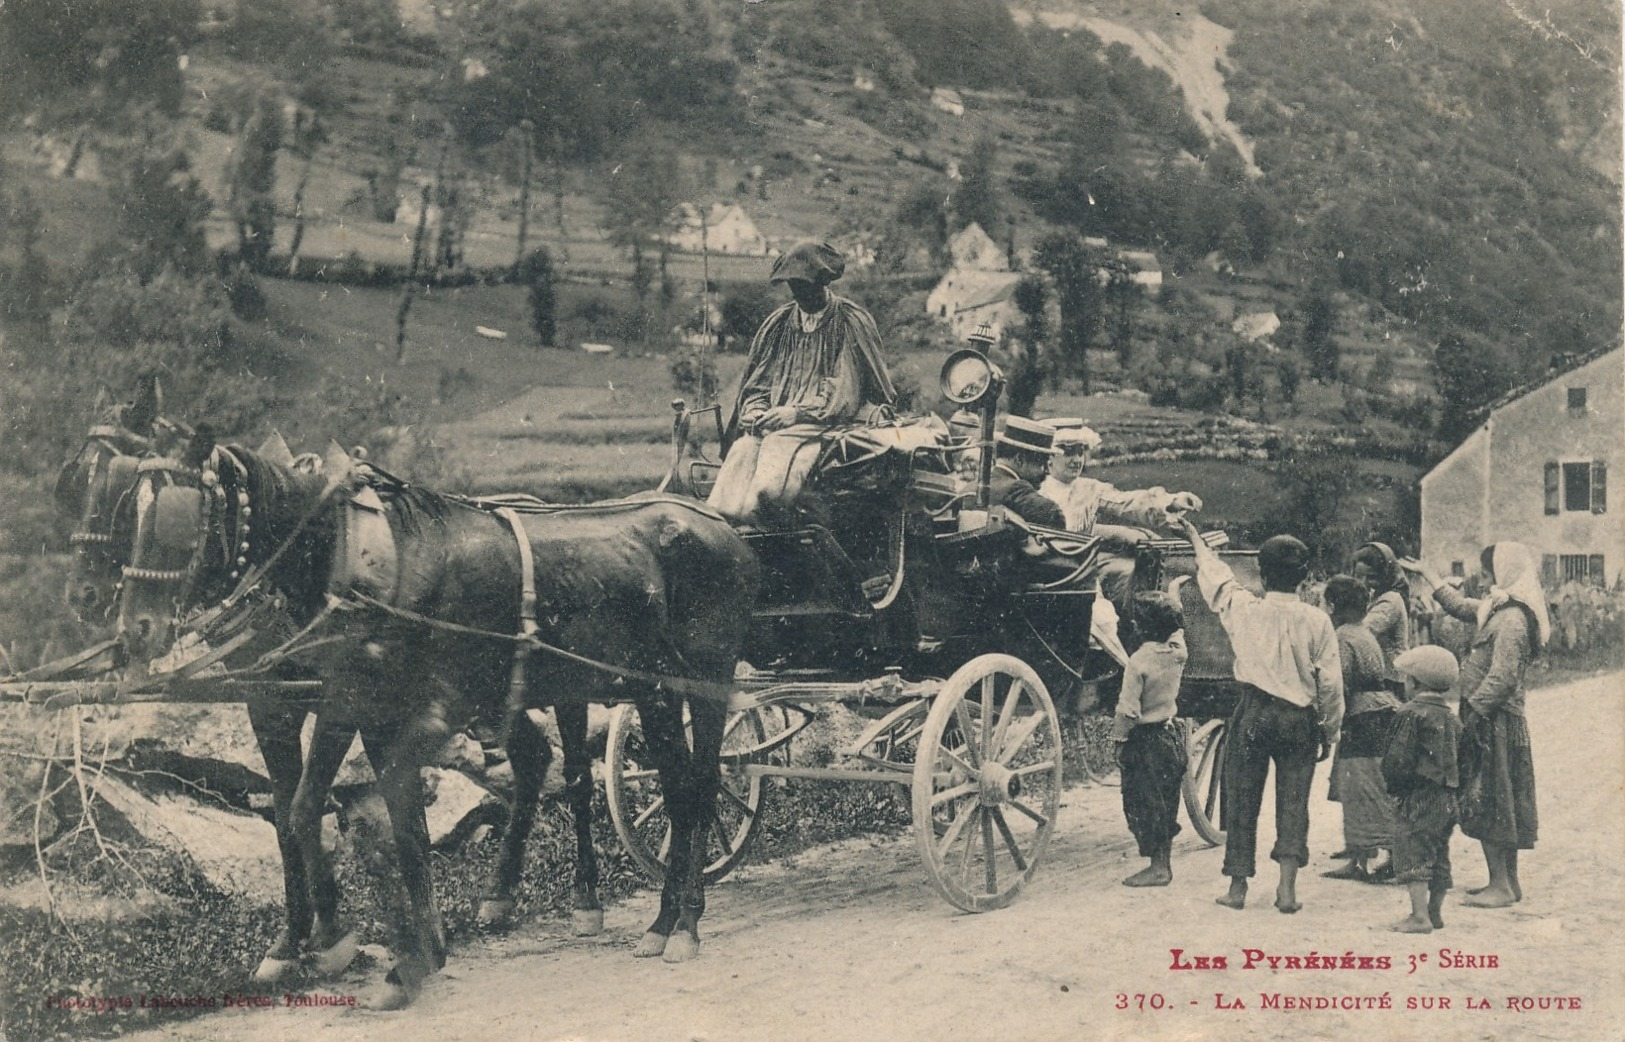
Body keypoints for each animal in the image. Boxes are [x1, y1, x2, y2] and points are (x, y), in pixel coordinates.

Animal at [117, 425, 757, 1001]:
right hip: (652, 690)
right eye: (129, 514)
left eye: (180, 522)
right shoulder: (357, 709)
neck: (374, 561)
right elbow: (380, 820)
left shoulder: (407, 709)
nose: (134, 630)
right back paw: (660, 920)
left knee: (699, 785)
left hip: (704, 680)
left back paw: (683, 924)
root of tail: (721, 527)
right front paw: (410, 950)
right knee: (673, 789)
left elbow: (335, 812)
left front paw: (379, 951)